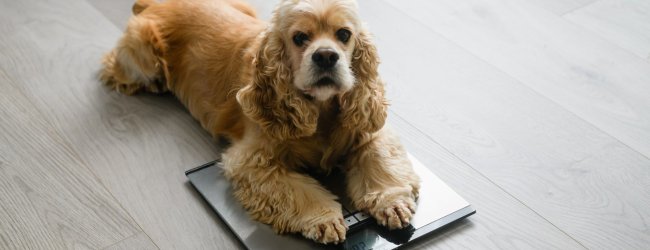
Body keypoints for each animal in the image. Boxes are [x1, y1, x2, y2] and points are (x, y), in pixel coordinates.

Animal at [99, 0, 418, 244]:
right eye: (299, 38)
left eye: (344, 34)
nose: (326, 56)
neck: (320, 109)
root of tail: (155, 3)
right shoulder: (251, 161)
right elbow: (296, 190)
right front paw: (324, 218)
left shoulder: (368, 130)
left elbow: (379, 159)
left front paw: (391, 201)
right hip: (143, 53)